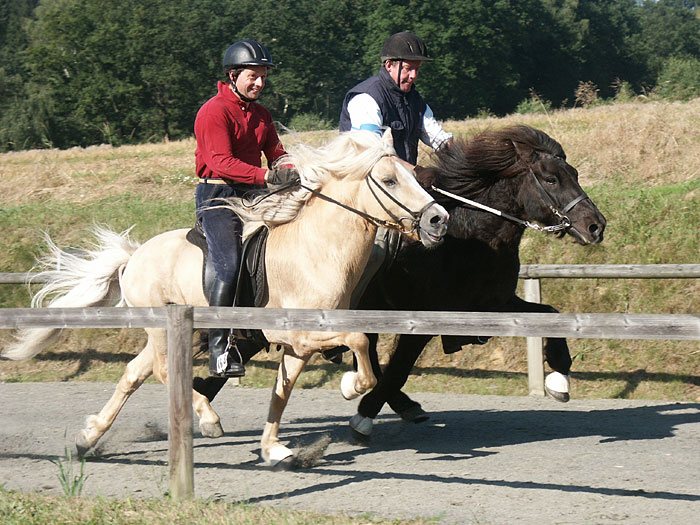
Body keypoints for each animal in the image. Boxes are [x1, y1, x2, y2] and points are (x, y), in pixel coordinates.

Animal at [4, 131, 448, 466]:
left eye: (414, 175)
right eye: (389, 181)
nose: (438, 220)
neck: (317, 250)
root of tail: (135, 256)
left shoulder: (299, 347)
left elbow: (282, 393)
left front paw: (274, 449)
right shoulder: (302, 335)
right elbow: (358, 347)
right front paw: (349, 386)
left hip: (167, 332)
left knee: (134, 373)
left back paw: (88, 437)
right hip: (163, 328)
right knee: (164, 374)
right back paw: (207, 418)